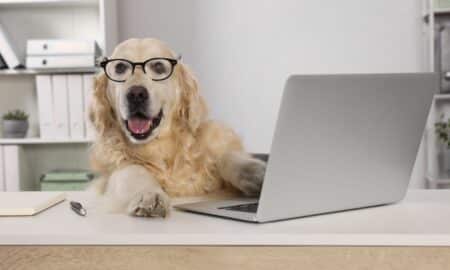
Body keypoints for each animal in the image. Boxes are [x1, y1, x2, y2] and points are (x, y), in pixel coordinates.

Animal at [89, 38, 266, 217]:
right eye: (120, 67)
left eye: (158, 66)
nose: (136, 94)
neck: (159, 145)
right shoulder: (113, 172)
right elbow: (134, 170)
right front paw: (149, 194)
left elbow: (226, 157)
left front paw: (257, 172)